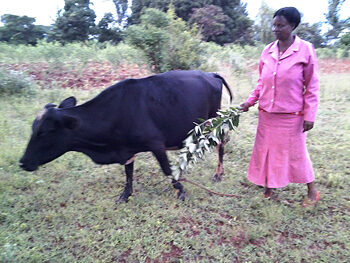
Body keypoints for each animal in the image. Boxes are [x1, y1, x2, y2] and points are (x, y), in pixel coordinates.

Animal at [19, 69, 232, 202]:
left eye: (44, 132)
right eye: (33, 128)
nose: (22, 162)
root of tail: (210, 74)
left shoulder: (156, 143)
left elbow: (166, 170)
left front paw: (180, 190)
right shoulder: (127, 149)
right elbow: (128, 173)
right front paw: (126, 194)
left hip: (215, 120)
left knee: (221, 143)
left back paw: (218, 174)